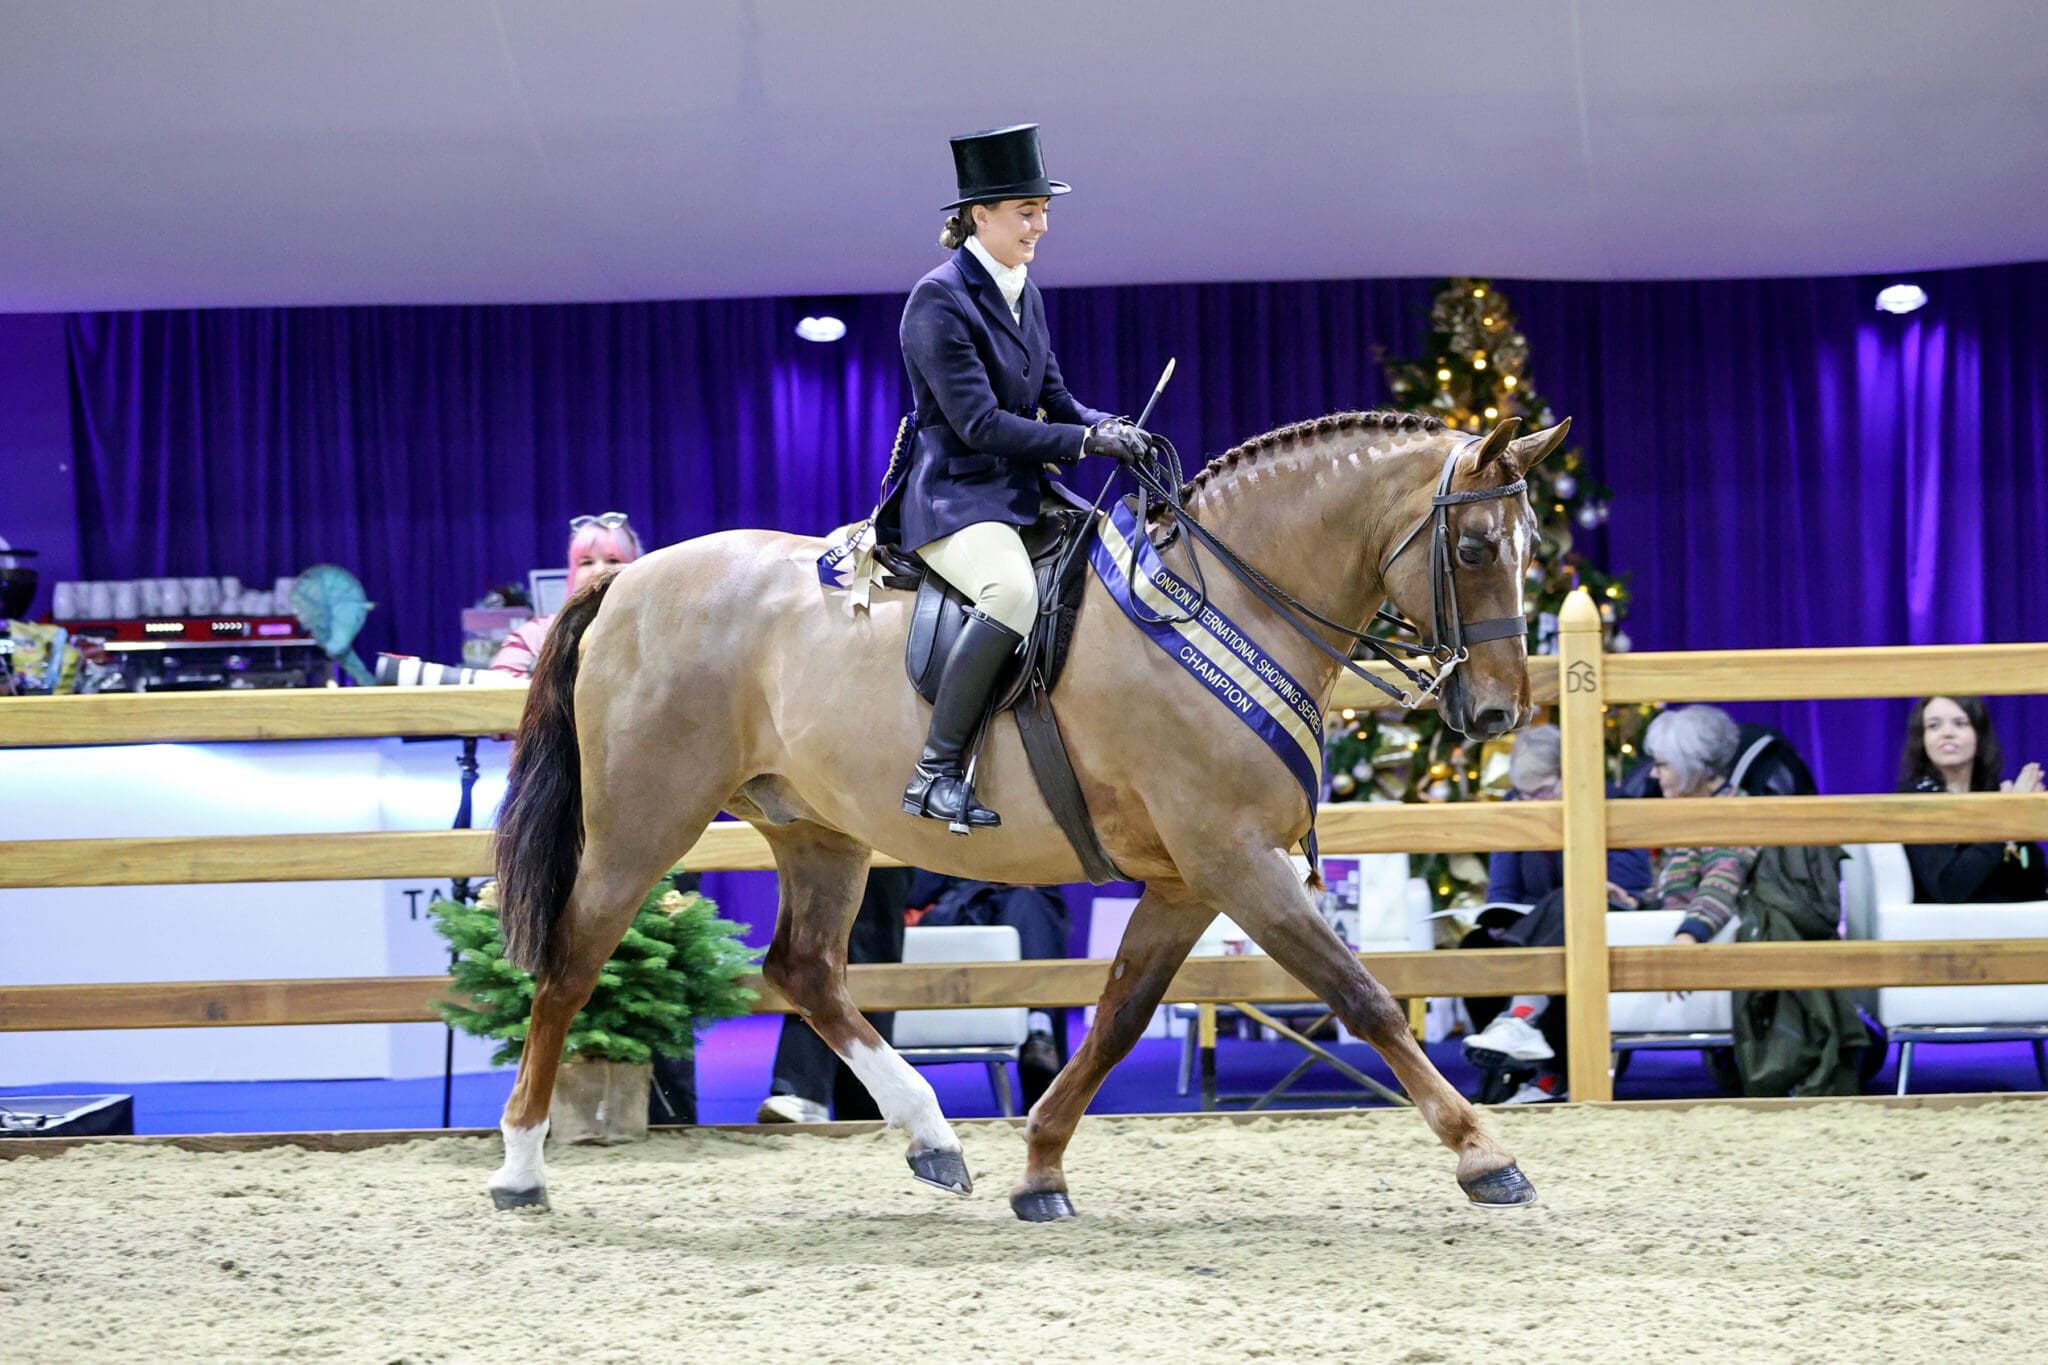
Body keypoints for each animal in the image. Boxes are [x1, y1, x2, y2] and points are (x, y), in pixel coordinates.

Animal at [487, 408, 1568, 1218]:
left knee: (803, 970)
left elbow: (1121, 1014)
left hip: (818, 830)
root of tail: (625, 577)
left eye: (1533, 549)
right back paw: (522, 1167)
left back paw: (931, 1139)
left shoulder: (1188, 877)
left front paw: (1041, 1165)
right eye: (1475, 546)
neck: (1224, 602)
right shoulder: (1234, 858)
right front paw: (1485, 1155)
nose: (1496, 712)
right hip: (642, 822)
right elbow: (1362, 995)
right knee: (573, 963)